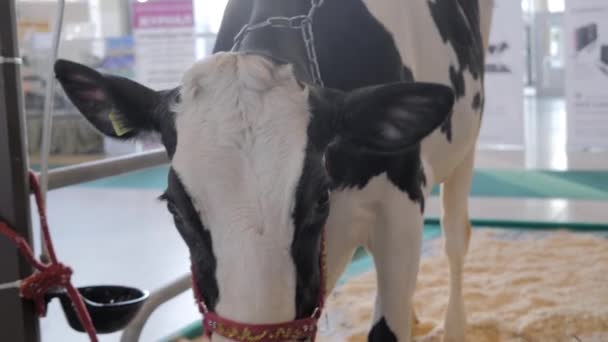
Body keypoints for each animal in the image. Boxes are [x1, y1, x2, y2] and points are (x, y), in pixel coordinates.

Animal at [54, 1, 494, 340]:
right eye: (174, 208)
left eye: (320, 198)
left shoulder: (399, 205)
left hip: (468, 139)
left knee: (456, 236)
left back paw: (454, 326)